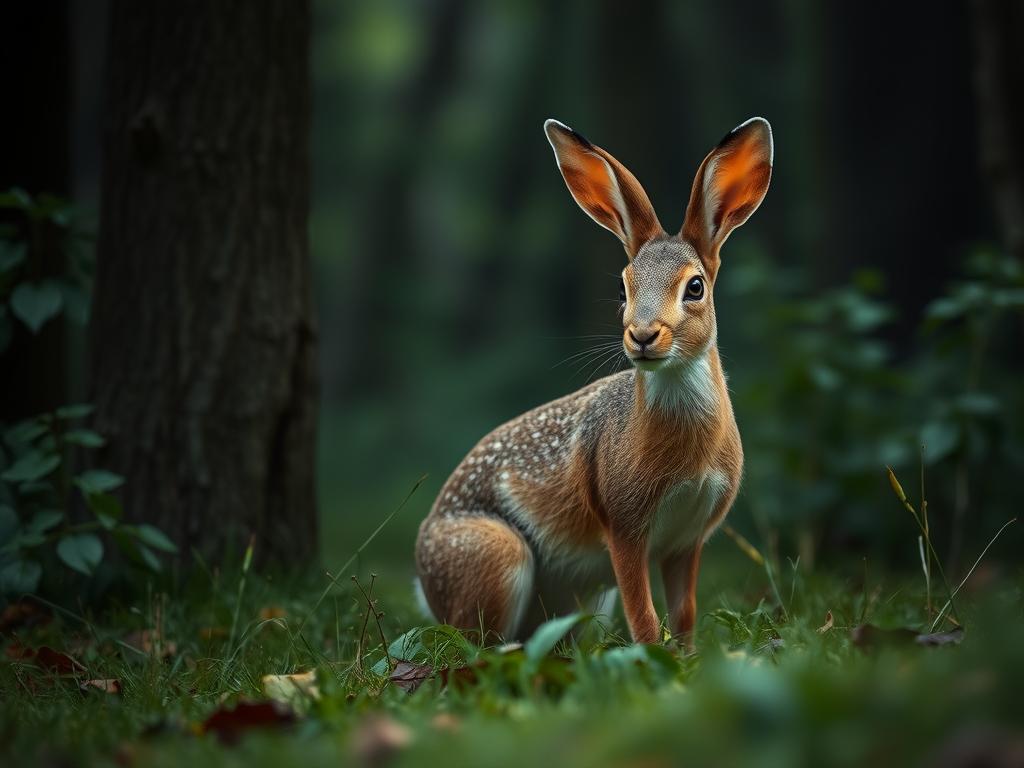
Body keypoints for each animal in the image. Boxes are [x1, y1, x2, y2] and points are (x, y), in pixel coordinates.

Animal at [411, 117, 770, 647]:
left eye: (695, 287)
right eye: (622, 288)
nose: (642, 335)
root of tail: (422, 579)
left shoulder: (687, 540)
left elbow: (684, 613)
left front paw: (688, 657)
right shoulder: (625, 528)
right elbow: (644, 615)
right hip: (498, 554)